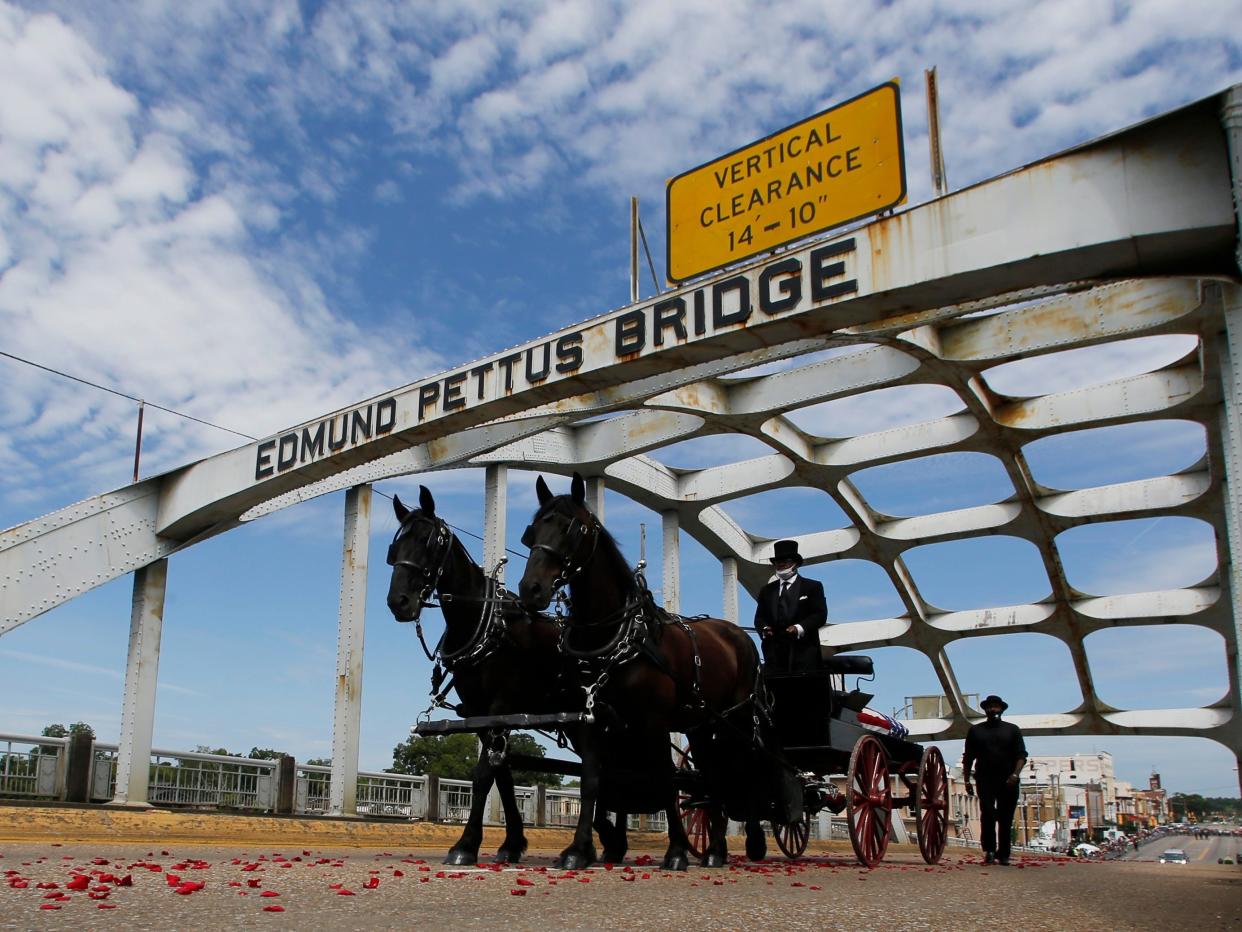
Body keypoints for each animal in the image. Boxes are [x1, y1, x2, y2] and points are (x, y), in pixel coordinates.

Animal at [382, 489, 630, 869]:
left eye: (428, 541)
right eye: (395, 548)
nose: (399, 601)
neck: (485, 625)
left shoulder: (502, 705)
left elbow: (484, 775)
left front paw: (465, 844)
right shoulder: (479, 713)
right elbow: (503, 775)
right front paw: (512, 841)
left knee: (598, 768)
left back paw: (591, 844)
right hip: (575, 722)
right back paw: (605, 839)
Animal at [516, 477, 775, 874]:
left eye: (572, 528)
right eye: (532, 531)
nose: (531, 589)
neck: (618, 634)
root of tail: (740, 635)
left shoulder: (655, 722)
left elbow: (665, 781)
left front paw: (677, 851)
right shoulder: (592, 721)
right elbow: (593, 782)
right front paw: (578, 849)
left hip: (735, 720)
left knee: (741, 768)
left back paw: (747, 839)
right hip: (702, 725)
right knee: (712, 775)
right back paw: (715, 848)